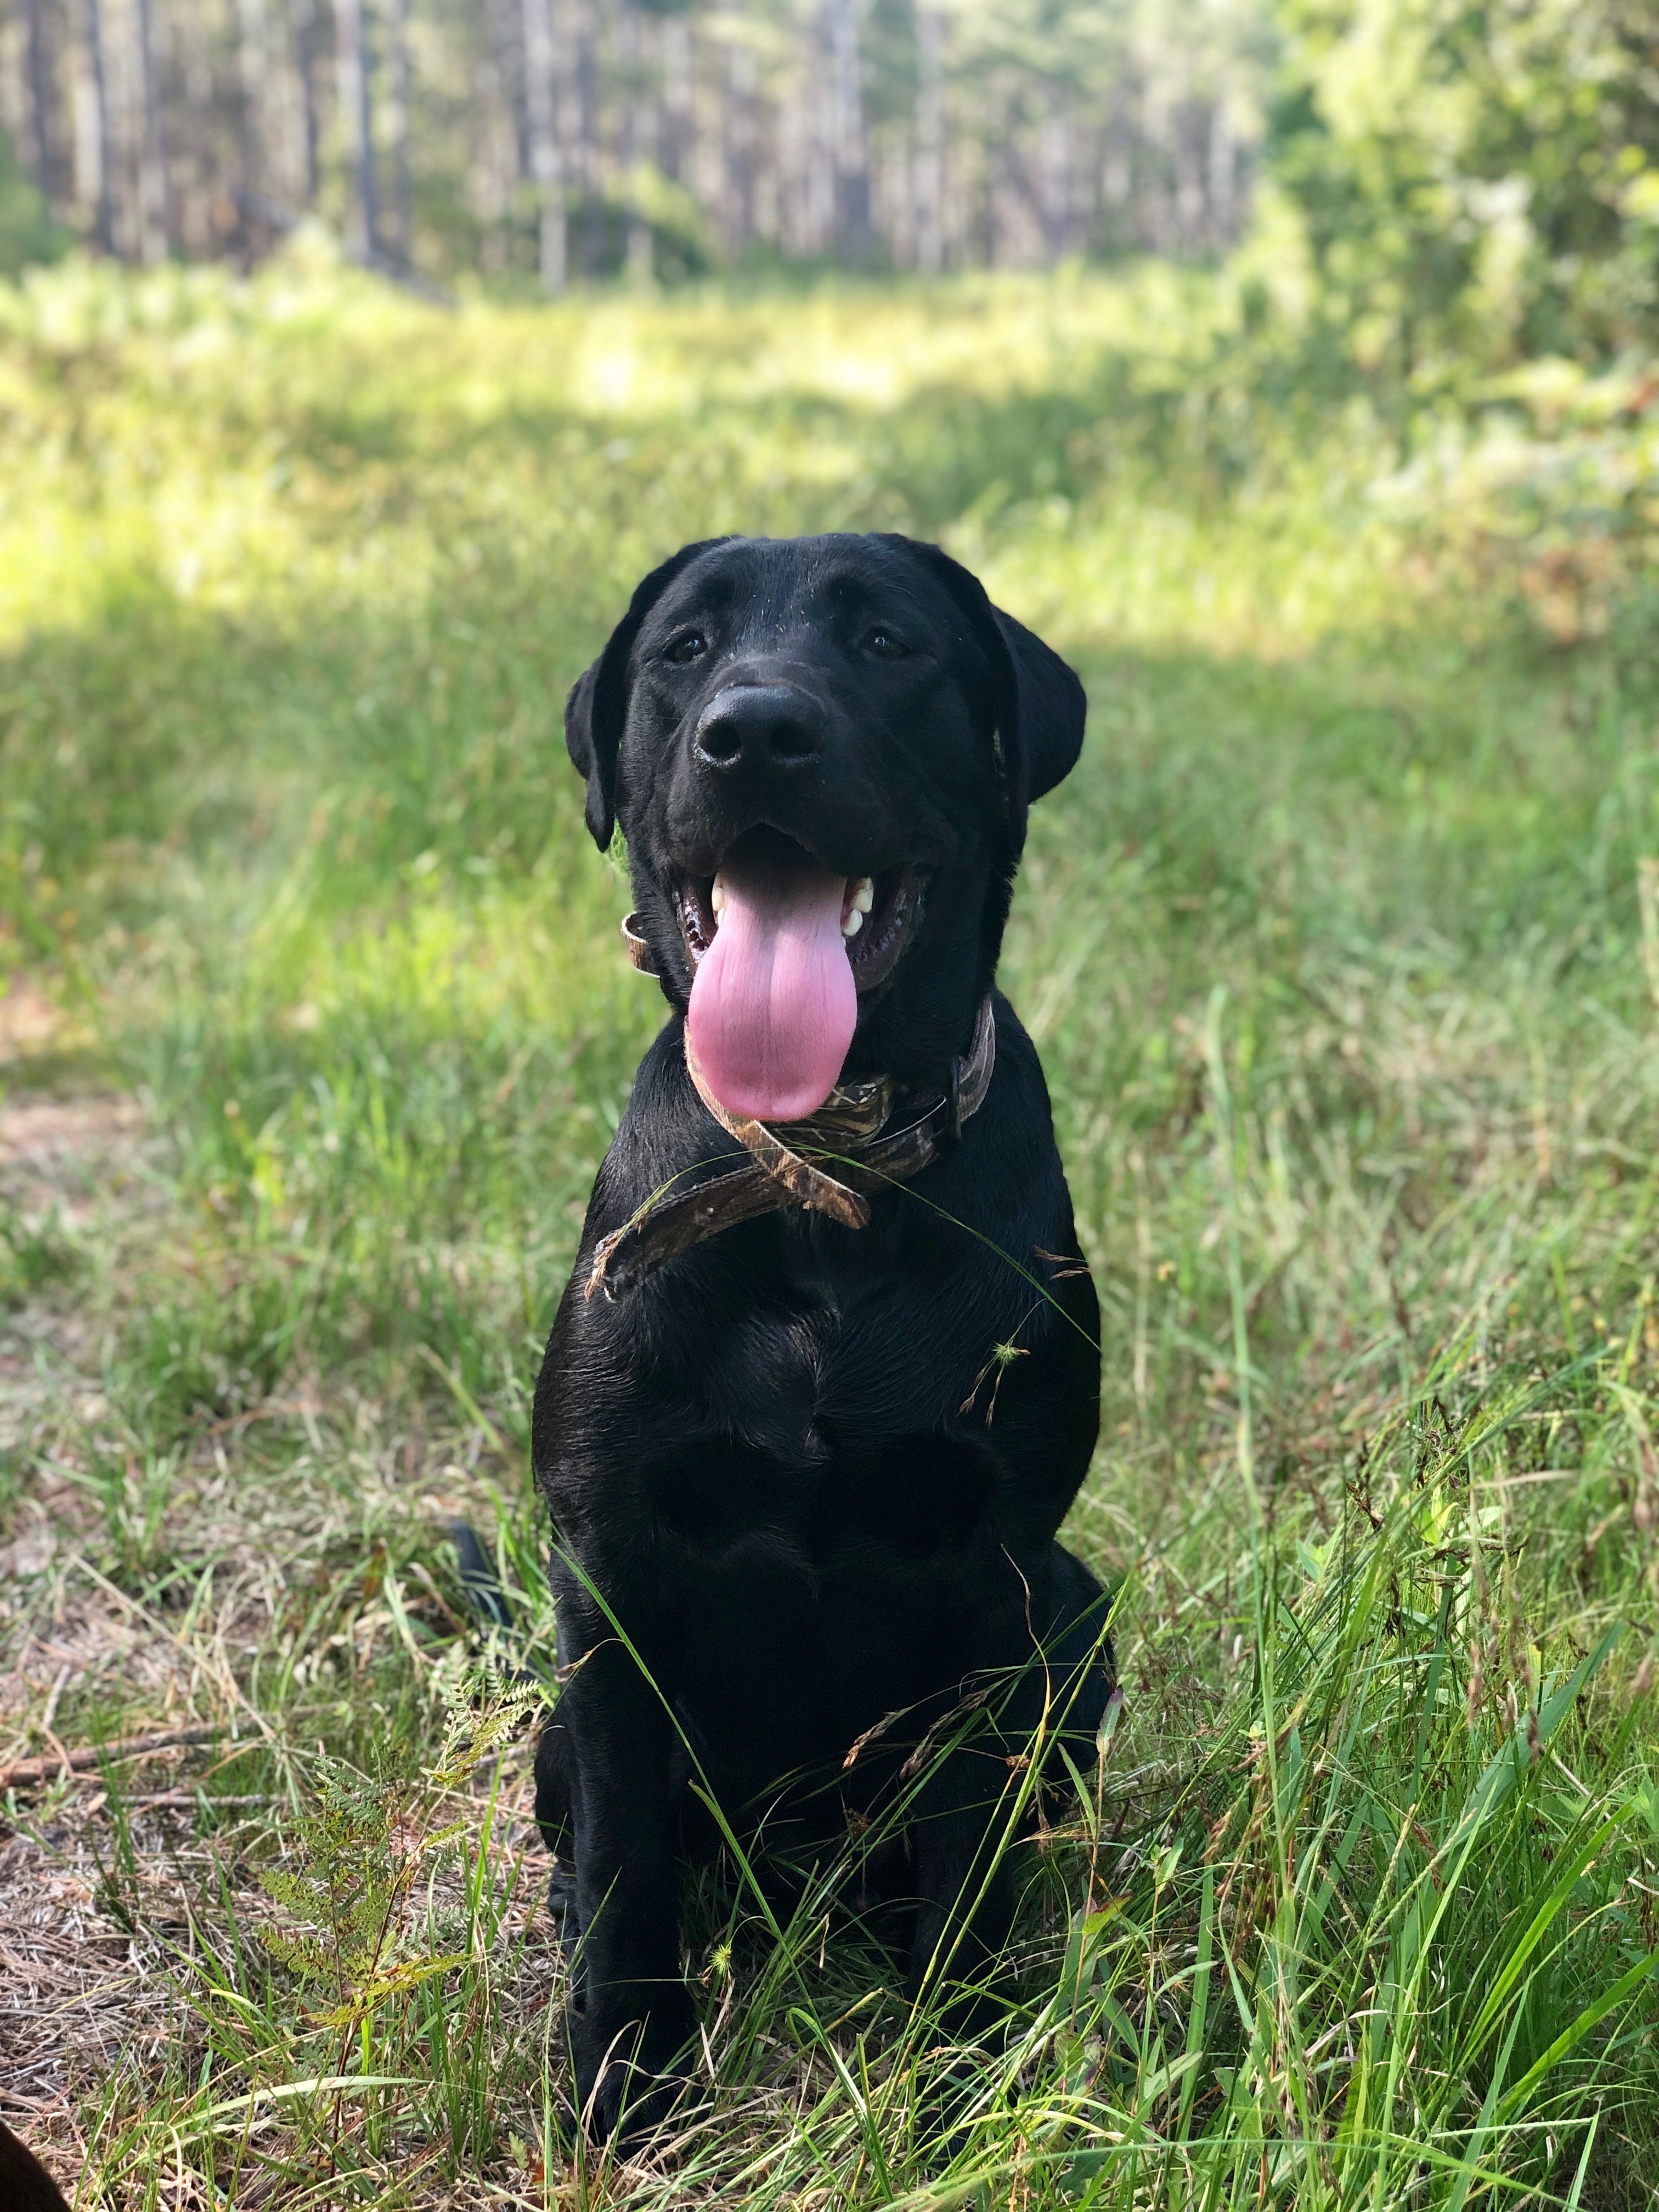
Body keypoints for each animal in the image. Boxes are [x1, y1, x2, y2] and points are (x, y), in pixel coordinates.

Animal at [535, 526, 1119, 2132]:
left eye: (886, 643)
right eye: (684, 651)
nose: (755, 732)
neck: (817, 1183)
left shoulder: (996, 1578)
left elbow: (966, 1864)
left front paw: (966, 2076)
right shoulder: (610, 1579)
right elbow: (624, 1857)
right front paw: (627, 2077)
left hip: (1082, 1618)